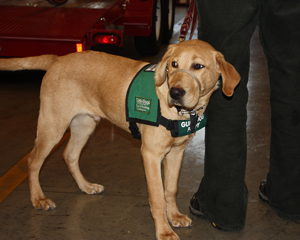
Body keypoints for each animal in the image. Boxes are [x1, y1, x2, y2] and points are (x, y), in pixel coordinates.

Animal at [0, 39, 239, 240]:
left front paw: (175, 217)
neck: (179, 113)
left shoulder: (177, 152)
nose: (175, 93)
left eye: (198, 66)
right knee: (33, 161)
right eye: (174, 64)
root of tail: (58, 59)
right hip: (53, 126)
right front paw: (163, 230)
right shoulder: (151, 155)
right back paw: (38, 199)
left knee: (69, 155)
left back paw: (86, 186)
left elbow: (170, 190)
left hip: (84, 124)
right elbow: (157, 197)